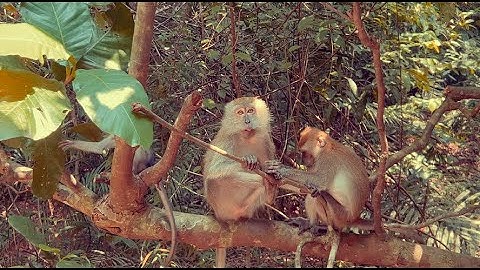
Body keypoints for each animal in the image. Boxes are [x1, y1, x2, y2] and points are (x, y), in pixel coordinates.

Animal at [202, 96, 278, 266]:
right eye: (240, 113)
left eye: (250, 110)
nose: (247, 121)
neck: (247, 137)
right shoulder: (228, 140)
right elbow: (215, 169)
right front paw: (250, 160)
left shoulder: (266, 141)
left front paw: (273, 170)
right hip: (221, 202)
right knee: (217, 180)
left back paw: (269, 190)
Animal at [266, 126, 372, 268]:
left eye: (304, 152)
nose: (302, 161)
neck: (327, 148)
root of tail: (354, 217)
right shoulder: (315, 164)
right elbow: (303, 187)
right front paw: (275, 179)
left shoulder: (327, 161)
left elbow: (318, 181)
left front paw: (282, 169)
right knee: (311, 194)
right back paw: (310, 224)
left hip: (340, 215)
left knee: (317, 195)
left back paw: (321, 226)